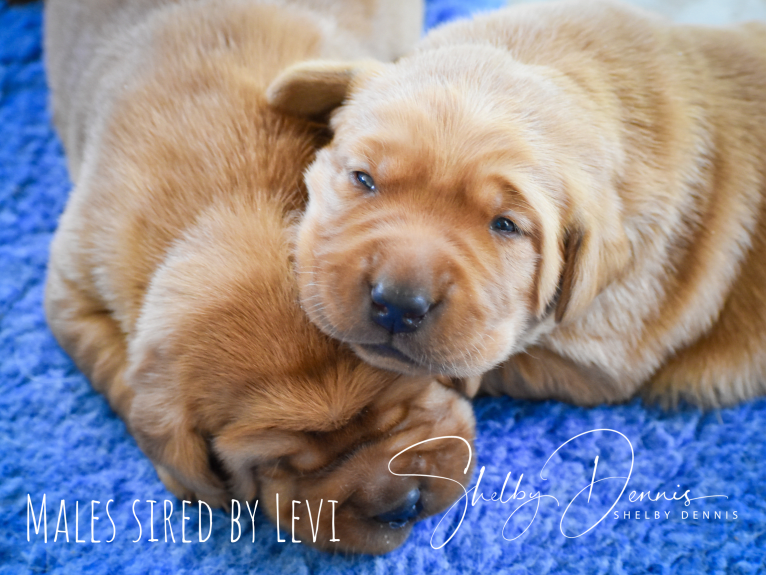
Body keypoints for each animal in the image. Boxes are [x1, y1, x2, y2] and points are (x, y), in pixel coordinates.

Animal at [43, 0, 480, 556]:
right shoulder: (68, 288)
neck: (235, 195)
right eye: (280, 463)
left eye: (410, 399)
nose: (400, 506)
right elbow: (116, 374)